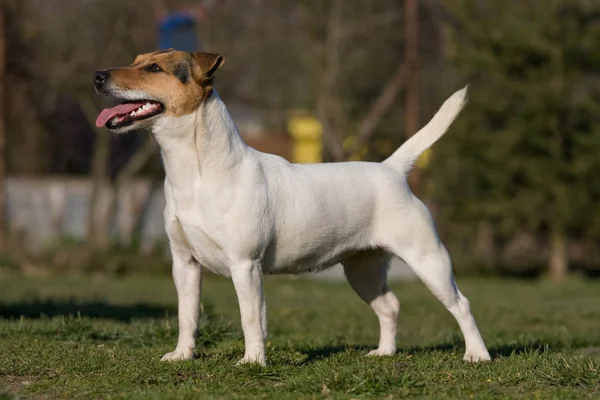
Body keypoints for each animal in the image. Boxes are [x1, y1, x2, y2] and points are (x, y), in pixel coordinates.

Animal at [91, 50, 490, 366]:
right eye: (137, 60)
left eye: (154, 68)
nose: (97, 76)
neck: (198, 173)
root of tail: (391, 169)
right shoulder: (184, 262)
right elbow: (186, 314)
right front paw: (182, 355)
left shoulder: (245, 265)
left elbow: (251, 318)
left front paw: (253, 361)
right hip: (362, 269)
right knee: (389, 305)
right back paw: (384, 353)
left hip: (428, 259)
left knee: (463, 304)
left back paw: (477, 355)